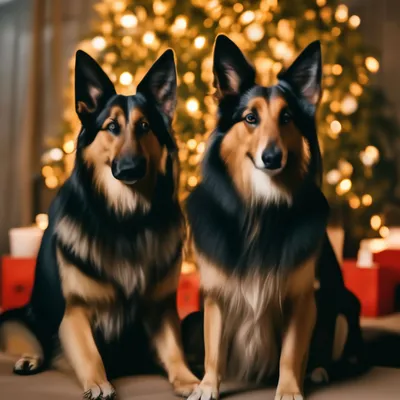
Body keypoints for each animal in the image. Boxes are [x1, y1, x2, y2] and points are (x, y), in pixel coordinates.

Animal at [0, 48, 199, 398]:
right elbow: (89, 353)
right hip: (16, 318)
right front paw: (98, 382)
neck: (125, 219)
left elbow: (174, 351)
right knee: (32, 340)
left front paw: (189, 380)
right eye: (112, 127)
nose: (131, 168)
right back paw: (29, 359)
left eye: (145, 126)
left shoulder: (161, 309)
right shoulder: (74, 312)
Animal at [184, 35, 366, 400]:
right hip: (191, 319)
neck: (260, 205)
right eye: (250, 118)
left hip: (344, 305)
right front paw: (208, 386)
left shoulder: (302, 297)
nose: (272, 157)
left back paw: (320, 371)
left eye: (287, 118)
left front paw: (289, 390)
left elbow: (291, 352)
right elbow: (214, 350)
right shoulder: (216, 295)